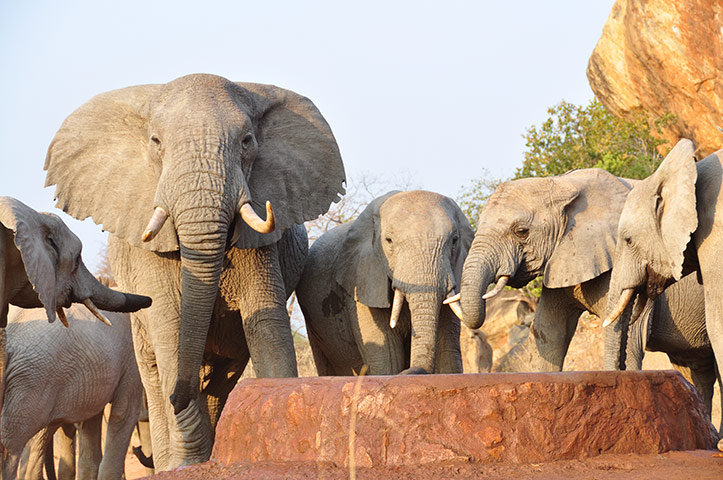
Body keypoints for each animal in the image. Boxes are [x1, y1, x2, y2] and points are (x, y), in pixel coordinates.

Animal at [43, 73, 345, 470]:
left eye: (247, 141)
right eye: (155, 142)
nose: (179, 398)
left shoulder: (263, 243)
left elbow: (268, 325)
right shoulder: (146, 254)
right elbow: (169, 325)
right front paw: (186, 462)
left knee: (221, 379)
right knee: (153, 371)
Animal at [296, 190, 474, 375]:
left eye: (454, 240)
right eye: (389, 240)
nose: (410, 370)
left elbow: (448, 355)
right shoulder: (361, 279)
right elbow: (387, 359)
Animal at [444, 168, 720, 419]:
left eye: (521, 231)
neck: (562, 184)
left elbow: (632, 333)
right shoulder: (562, 258)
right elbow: (549, 331)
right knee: (697, 370)